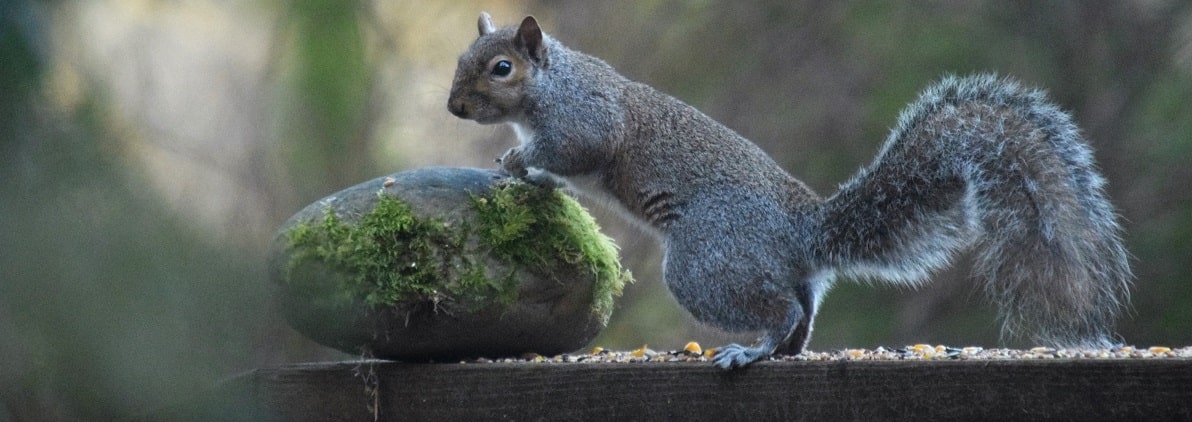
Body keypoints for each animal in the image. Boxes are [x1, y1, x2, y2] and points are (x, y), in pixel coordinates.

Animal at [447, 13, 1132, 369]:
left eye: (502, 68)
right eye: (460, 58)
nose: (453, 108)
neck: (550, 85)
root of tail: (804, 232)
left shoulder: (587, 121)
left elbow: (574, 151)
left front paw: (519, 160)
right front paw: (524, 170)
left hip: (707, 262)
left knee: (778, 310)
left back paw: (747, 352)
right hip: (770, 273)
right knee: (799, 310)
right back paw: (776, 351)